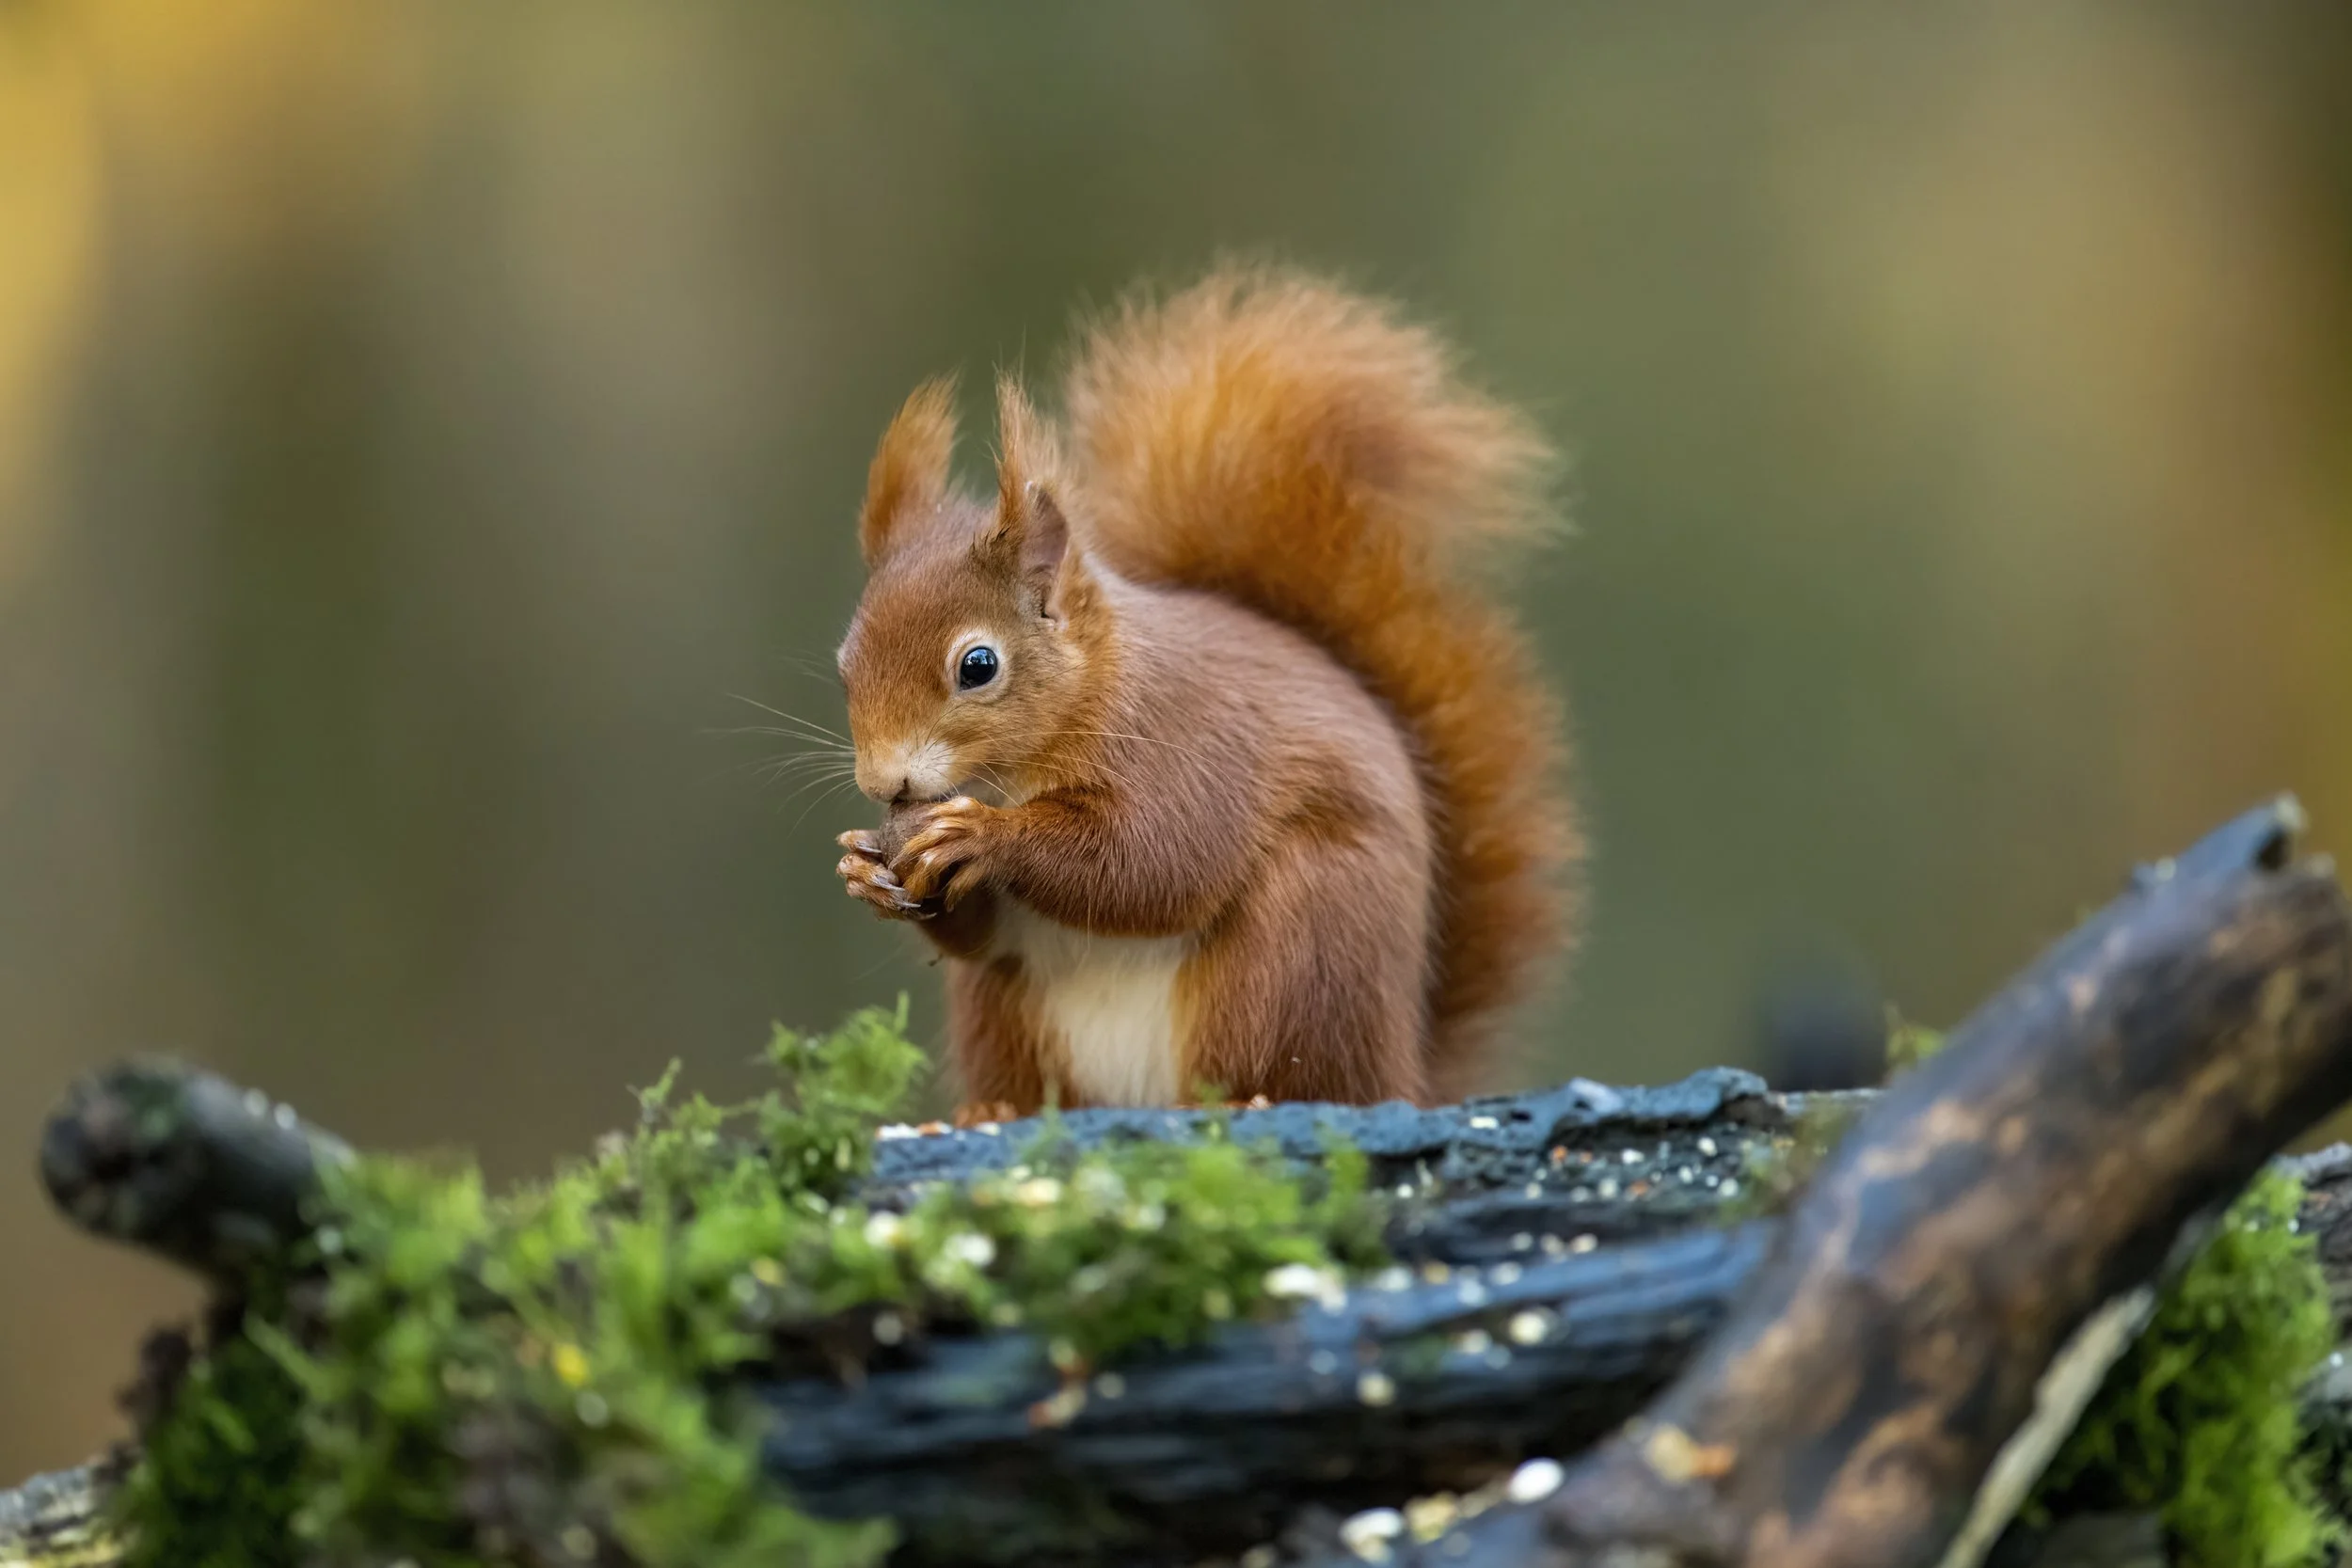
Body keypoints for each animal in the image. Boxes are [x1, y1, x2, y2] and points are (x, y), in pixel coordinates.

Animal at [832, 266, 1579, 1121]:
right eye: (844, 663)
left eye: (978, 665)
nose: (883, 781)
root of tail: (1401, 1074)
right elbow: (985, 932)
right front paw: (864, 867)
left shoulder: (1193, 742)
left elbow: (1155, 862)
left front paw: (982, 837)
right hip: (1005, 1013)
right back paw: (995, 1110)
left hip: (1294, 952)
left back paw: (1243, 1102)